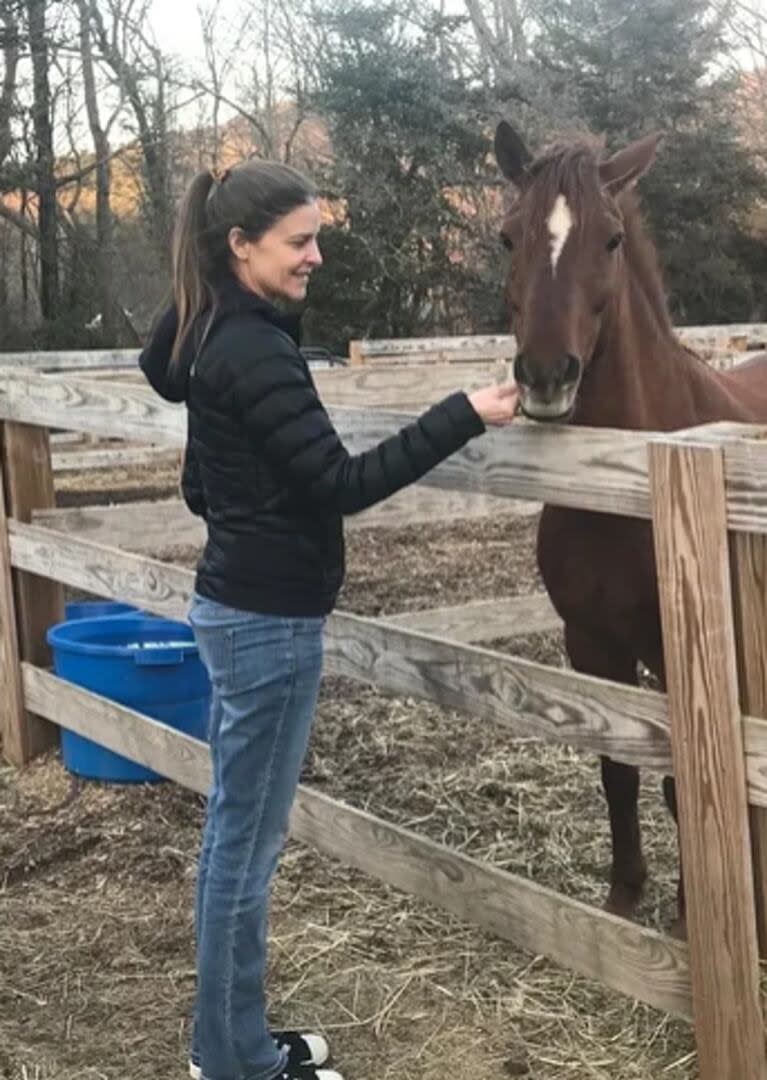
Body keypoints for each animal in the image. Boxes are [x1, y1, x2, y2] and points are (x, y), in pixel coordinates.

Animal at [494, 118, 767, 928]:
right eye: (507, 237)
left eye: (611, 239)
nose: (545, 377)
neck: (625, 481)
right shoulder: (592, 643)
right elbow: (617, 767)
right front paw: (623, 896)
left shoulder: (679, 660)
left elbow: (682, 785)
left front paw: (687, 912)